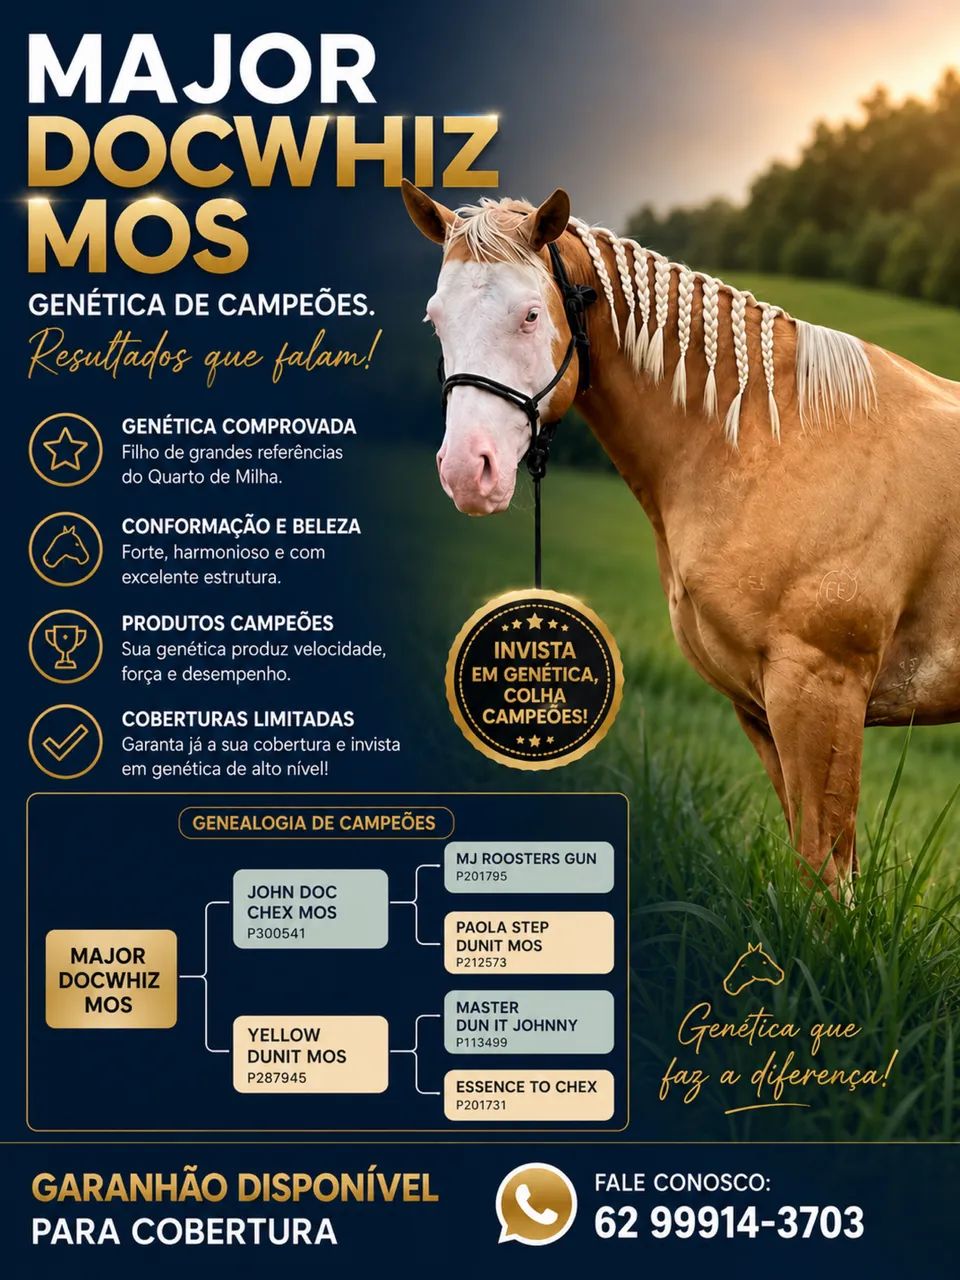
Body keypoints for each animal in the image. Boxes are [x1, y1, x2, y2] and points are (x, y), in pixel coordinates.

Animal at [402, 179, 960, 896]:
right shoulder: (762, 710)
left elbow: (826, 878)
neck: (775, 437)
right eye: (436, 320)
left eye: (529, 315)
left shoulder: (821, 691)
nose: (469, 471)